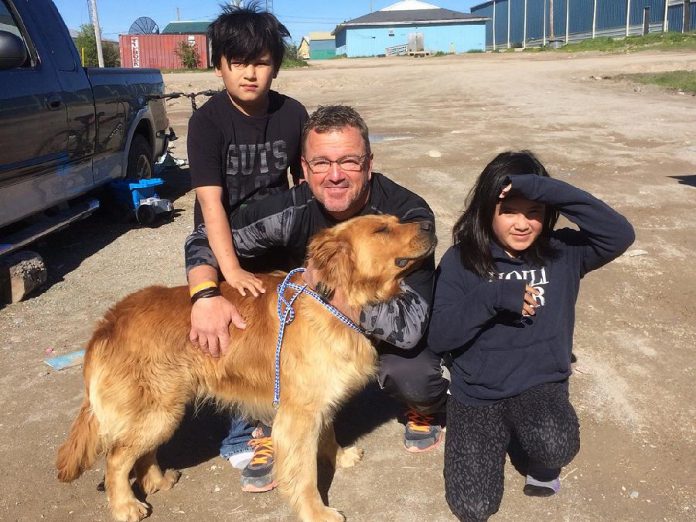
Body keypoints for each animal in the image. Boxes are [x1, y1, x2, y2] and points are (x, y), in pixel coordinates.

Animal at [55, 213, 436, 516]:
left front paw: (339, 457)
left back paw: (158, 481)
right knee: (116, 459)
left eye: (396, 220)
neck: (333, 299)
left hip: (163, 411)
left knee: (141, 453)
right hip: (156, 412)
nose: (429, 225)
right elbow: (304, 474)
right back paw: (126, 507)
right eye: (381, 230)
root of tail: (107, 324)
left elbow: (327, 434)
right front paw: (316, 512)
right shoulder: (298, 415)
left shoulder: (318, 401)